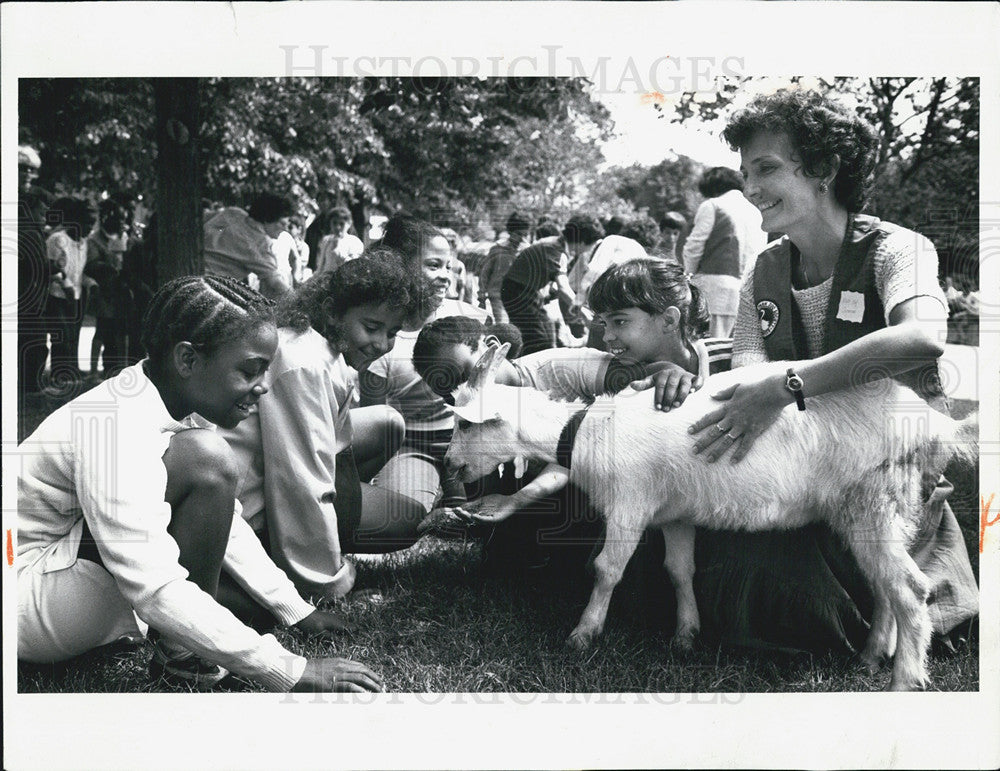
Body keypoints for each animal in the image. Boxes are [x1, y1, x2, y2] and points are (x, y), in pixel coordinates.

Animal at [446, 344, 976, 692]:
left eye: (463, 425)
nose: (451, 466)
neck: (582, 433)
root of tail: (935, 424)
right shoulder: (674, 512)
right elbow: (680, 570)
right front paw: (686, 634)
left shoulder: (630, 504)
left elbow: (606, 570)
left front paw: (584, 634)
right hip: (870, 507)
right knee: (887, 585)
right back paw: (870, 659)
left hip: (873, 499)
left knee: (911, 588)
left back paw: (906, 680)